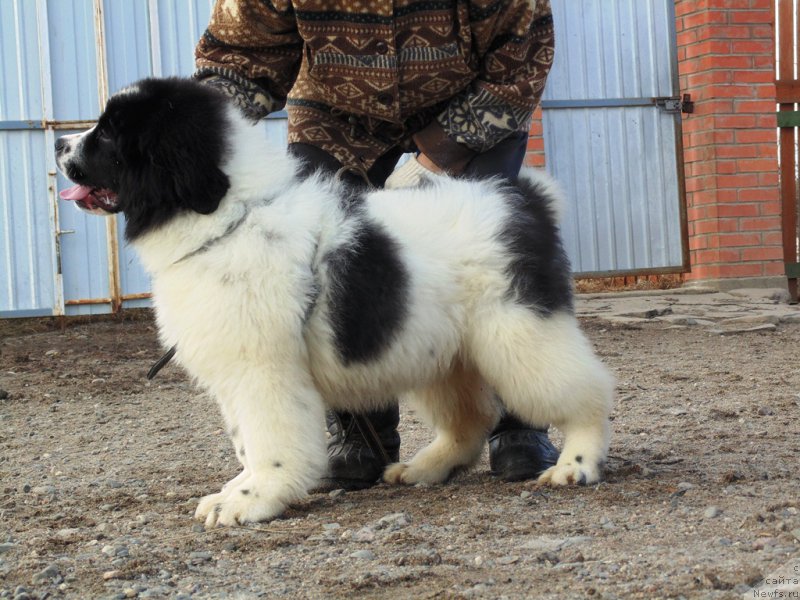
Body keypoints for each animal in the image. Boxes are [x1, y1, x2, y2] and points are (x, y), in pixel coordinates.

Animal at [56, 78, 616, 524]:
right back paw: (426, 467)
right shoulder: (235, 371)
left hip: (520, 332)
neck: (230, 216)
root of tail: (523, 200)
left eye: (109, 133)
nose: (60, 142)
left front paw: (253, 498)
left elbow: (268, 441)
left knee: (586, 391)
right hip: (439, 349)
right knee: (470, 416)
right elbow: (245, 440)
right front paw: (237, 488)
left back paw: (575, 464)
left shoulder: (264, 369)